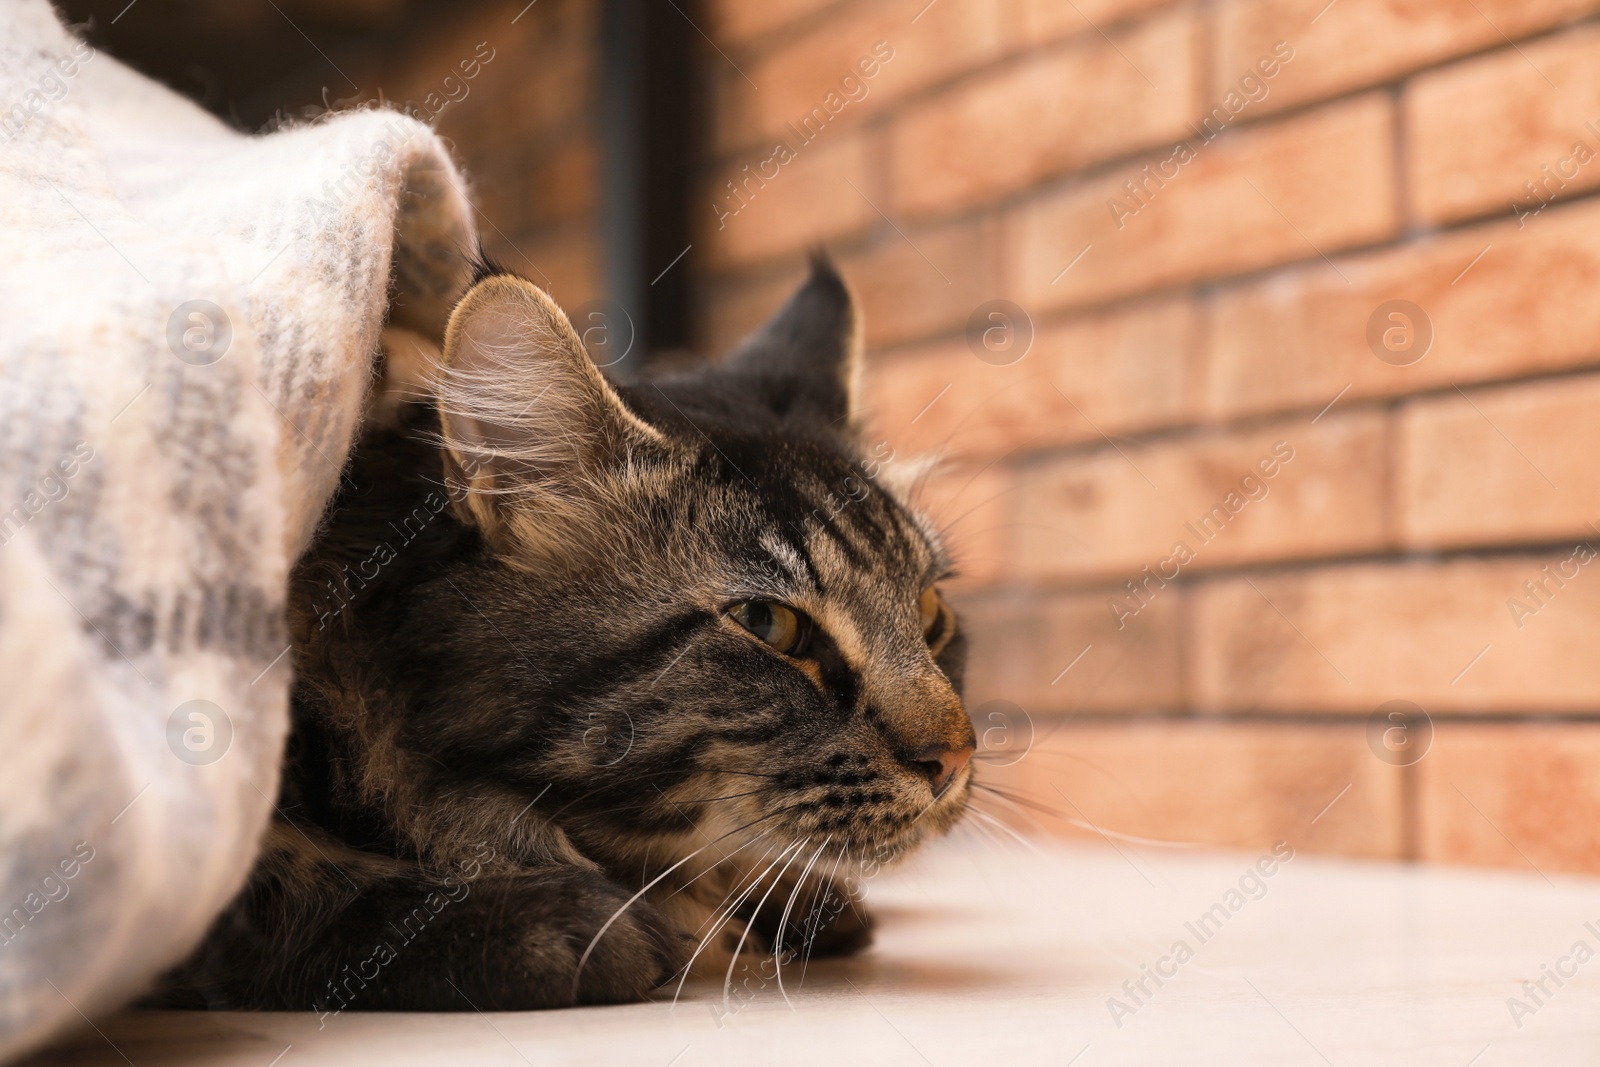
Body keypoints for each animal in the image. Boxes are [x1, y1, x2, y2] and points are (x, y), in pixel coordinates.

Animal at [152, 254, 972, 1017]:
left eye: (931, 612)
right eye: (769, 625)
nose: (957, 759)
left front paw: (794, 897)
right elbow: (288, 883)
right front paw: (558, 923)